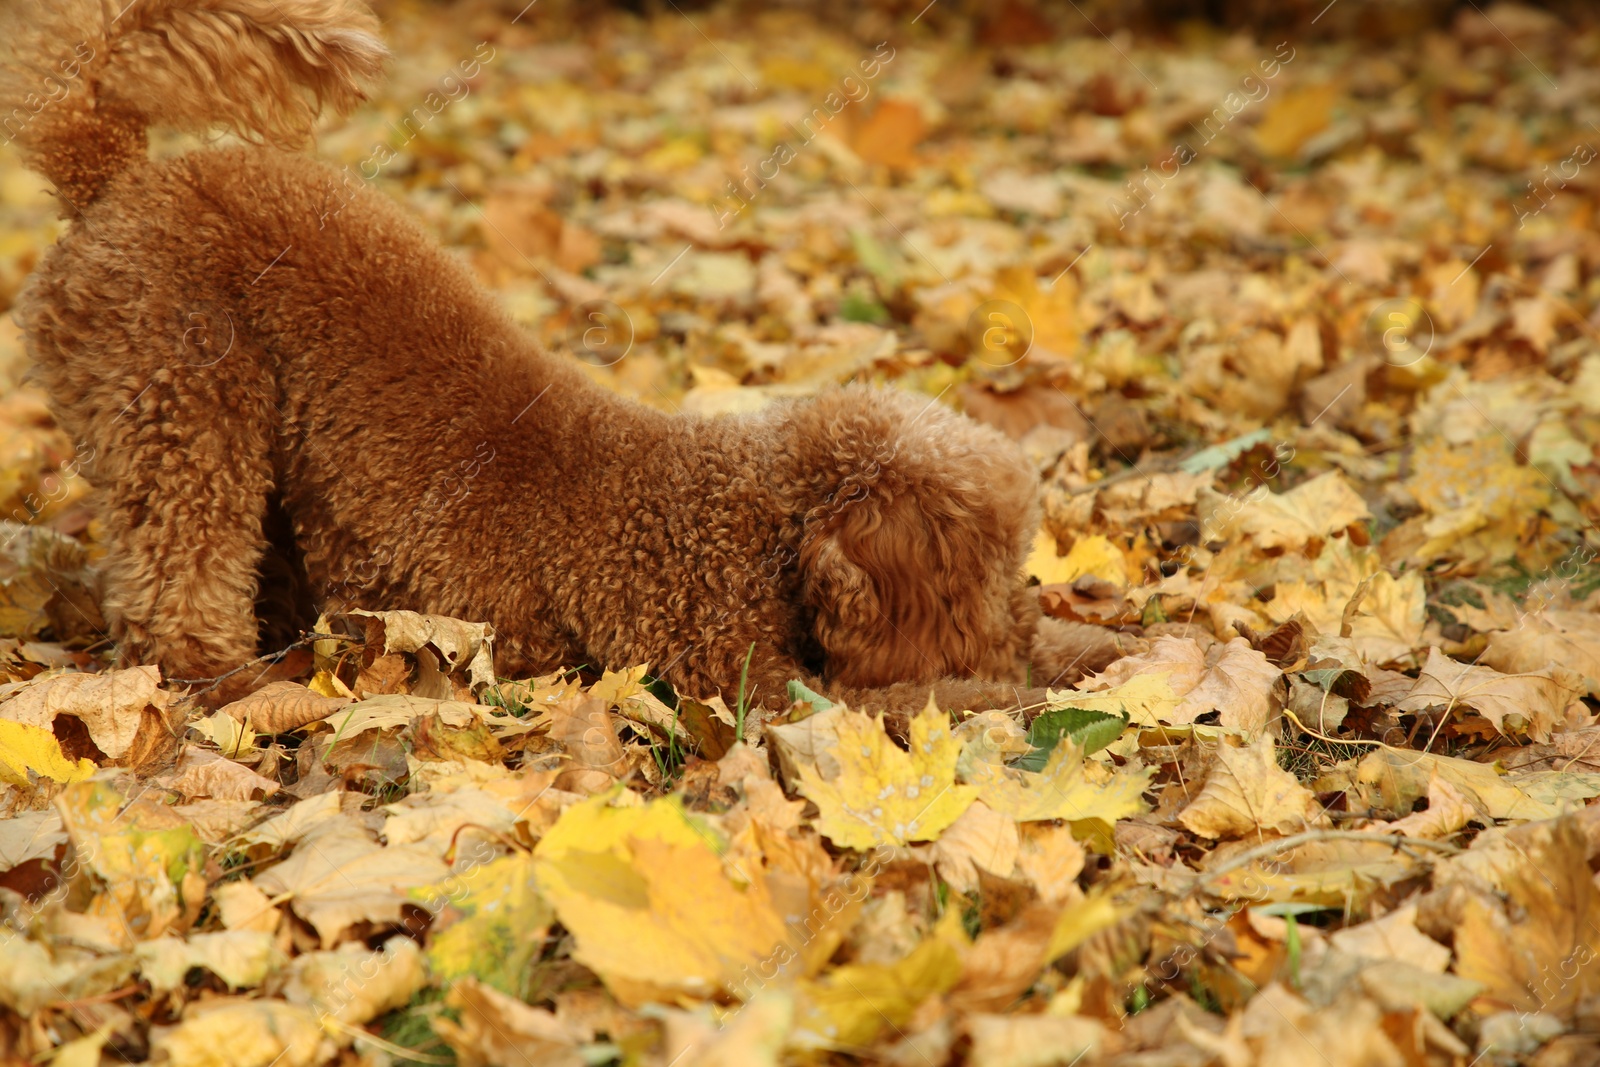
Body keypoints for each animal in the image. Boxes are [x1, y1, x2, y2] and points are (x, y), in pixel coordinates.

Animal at [6, 2, 1126, 716]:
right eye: (979, 575)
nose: (1021, 621)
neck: (752, 521)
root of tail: (114, 178)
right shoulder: (743, 682)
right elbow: (930, 701)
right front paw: (1030, 685)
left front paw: (1108, 649)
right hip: (179, 394)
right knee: (177, 578)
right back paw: (229, 684)